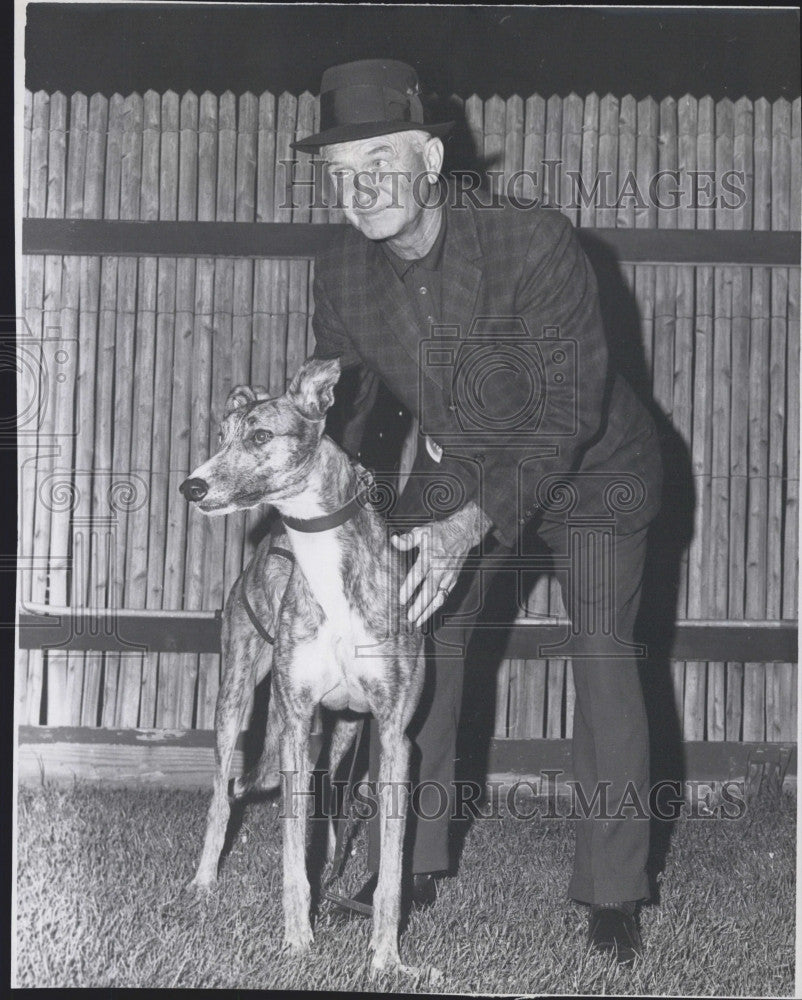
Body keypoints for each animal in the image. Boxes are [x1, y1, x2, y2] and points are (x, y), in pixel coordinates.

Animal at [178, 360, 422, 976]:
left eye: (261, 436)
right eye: (221, 436)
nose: (192, 487)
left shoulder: (393, 732)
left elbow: (392, 867)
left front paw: (386, 958)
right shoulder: (293, 722)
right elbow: (292, 855)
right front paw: (297, 942)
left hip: (343, 734)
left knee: (331, 806)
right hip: (236, 697)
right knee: (222, 798)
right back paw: (204, 883)